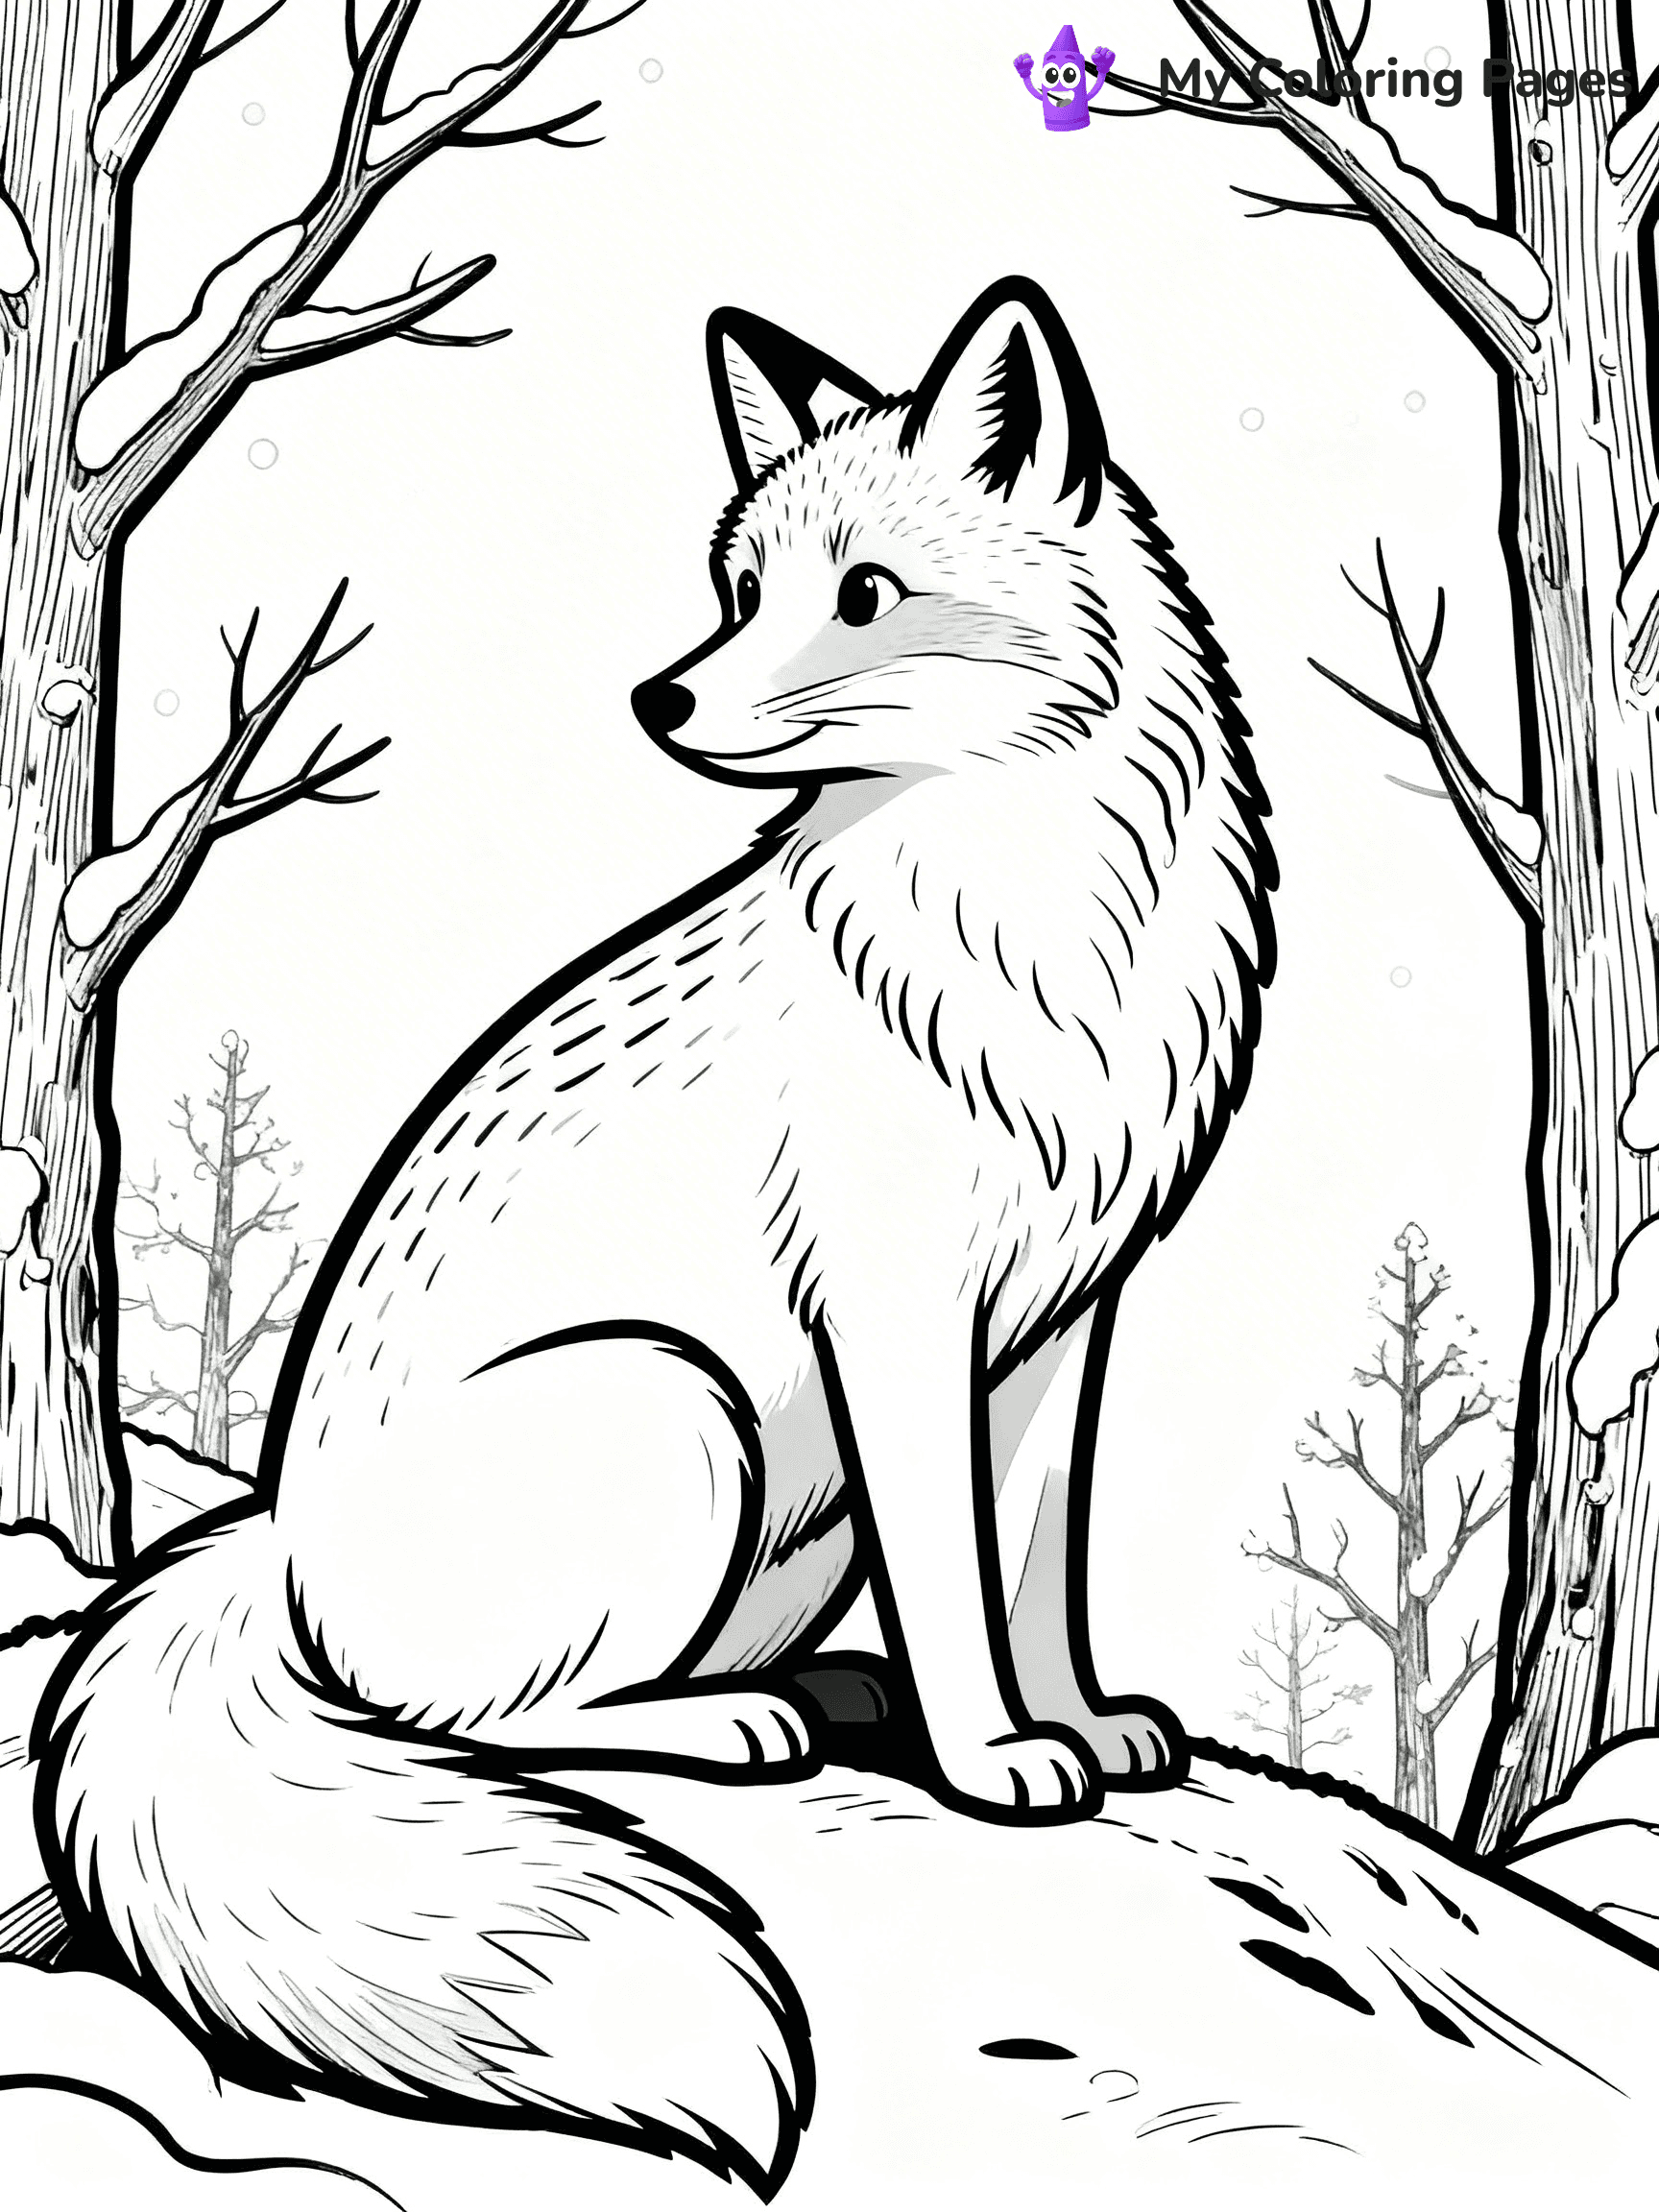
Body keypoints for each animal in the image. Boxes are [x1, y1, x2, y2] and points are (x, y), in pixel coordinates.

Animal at [35, 277, 1274, 2197]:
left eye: (861, 594)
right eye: (741, 581)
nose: (658, 691)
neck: (1032, 933)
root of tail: (273, 1542)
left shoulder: (1063, 1316)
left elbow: (1033, 1564)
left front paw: (1081, 1726)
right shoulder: (898, 1315)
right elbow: (954, 1581)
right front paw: (993, 1754)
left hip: (773, 1514)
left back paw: (802, 1691)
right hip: (673, 1401)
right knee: (472, 1724)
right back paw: (730, 1729)